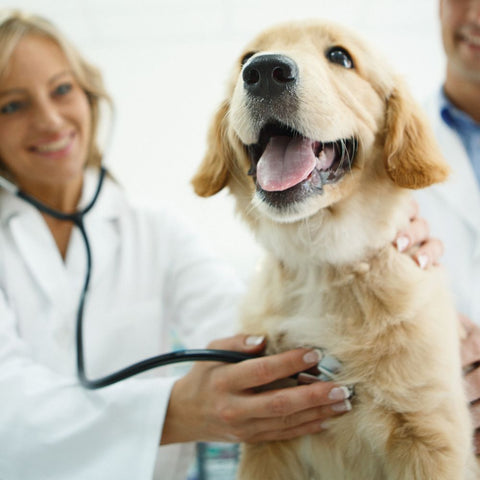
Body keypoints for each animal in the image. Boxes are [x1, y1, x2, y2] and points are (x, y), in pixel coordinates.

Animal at [192, 20, 480, 478]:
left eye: (341, 57)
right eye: (245, 59)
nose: (265, 71)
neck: (320, 264)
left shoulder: (432, 439)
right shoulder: (267, 442)